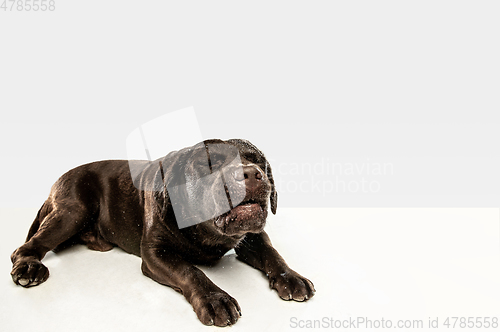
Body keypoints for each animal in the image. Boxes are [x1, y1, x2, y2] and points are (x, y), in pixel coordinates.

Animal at [10, 138, 312, 326]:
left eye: (258, 161)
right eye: (208, 164)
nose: (250, 173)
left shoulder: (252, 238)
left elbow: (273, 255)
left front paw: (291, 277)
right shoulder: (156, 253)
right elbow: (190, 271)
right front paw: (215, 298)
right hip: (73, 212)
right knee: (26, 248)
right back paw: (29, 267)